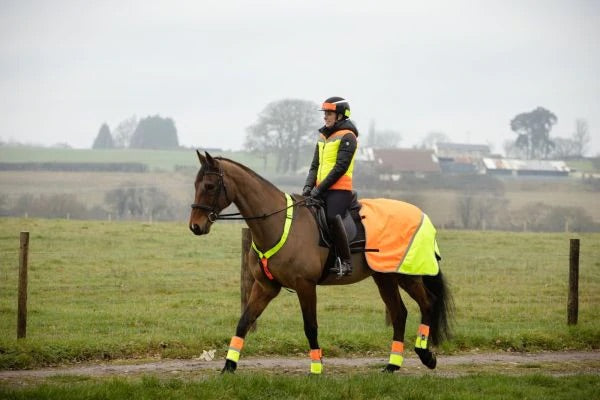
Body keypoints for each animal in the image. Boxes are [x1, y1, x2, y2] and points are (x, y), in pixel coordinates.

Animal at [188, 151, 450, 376]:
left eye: (209, 186)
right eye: (196, 185)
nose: (196, 226)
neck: (277, 222)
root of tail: (422, 215)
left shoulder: (305, 286)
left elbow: (310, 326)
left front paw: (316, 368)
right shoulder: (266, 287)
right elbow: (244, 322)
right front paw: (229, 366)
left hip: (407, 275)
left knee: (428, 303)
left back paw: (426, 355)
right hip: (384, 277)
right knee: (399, 313)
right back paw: (392, 365)